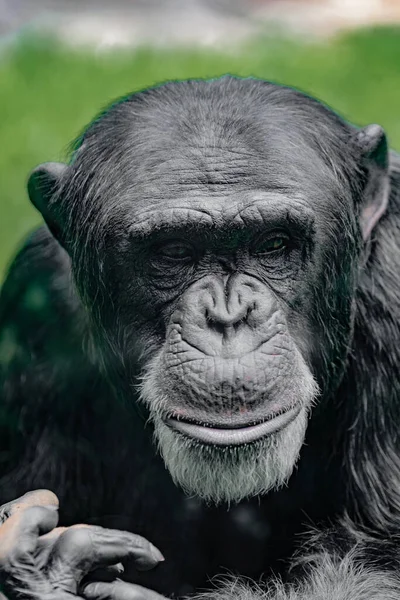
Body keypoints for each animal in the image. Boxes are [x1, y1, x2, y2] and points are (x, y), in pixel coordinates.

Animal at [0, 76, 400, 600]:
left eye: (274, 243)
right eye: (173, 251)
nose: (227, 318)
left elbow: (374, 563)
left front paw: (49, 572)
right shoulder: (33, 307)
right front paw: (40, 566)